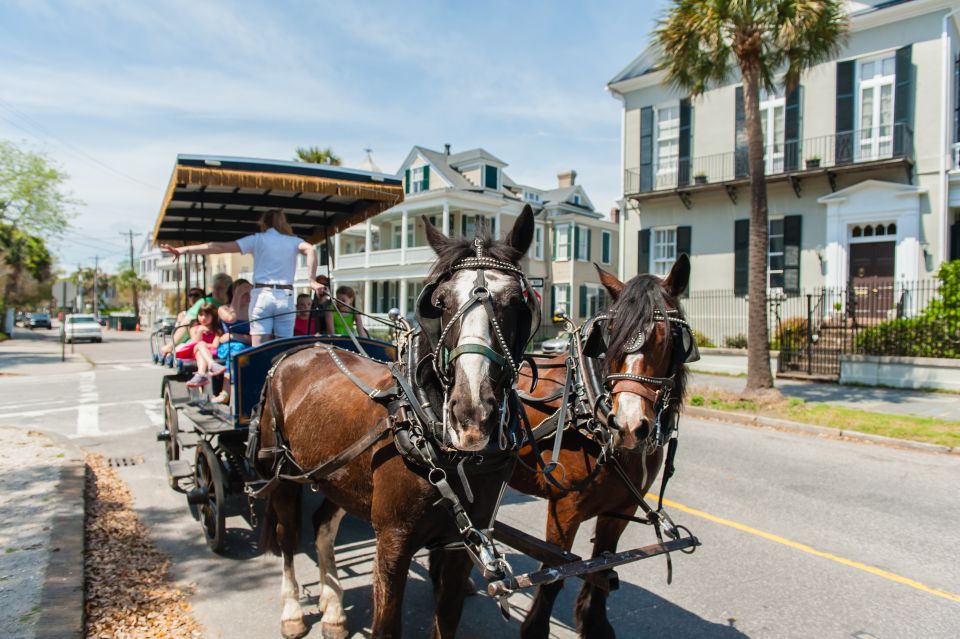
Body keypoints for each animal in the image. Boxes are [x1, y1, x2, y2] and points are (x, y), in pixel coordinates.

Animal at [255, 209, 540, 639]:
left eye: (517, 302)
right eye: (439, 302)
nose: (471, 413)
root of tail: (299, 350)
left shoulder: (462, 544)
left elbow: (447, 620)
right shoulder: (392, 540)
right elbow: (387, 625)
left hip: (335, 475)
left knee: (322, 525)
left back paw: (333, 608)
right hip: (284, 470)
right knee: (289, 536)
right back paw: (292, 610)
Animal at [510, 256, 688, 639]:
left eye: (669, 338)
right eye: (612, 335)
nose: (629, 426)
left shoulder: (618, 509)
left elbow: (601, 571)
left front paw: (595, 623)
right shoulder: (564, 510)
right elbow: (554, 575)